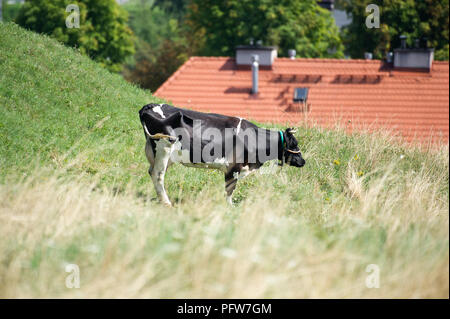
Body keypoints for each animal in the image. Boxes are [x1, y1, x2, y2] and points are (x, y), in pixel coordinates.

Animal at [138, 103, 306, 208]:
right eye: (294, 144)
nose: (303, 161)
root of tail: (149, 106)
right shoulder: (234, 168)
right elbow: (229, 189)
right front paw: (230, 207)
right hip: (163, 148)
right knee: (158, 175)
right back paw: (166, 203)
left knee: (152, 172)